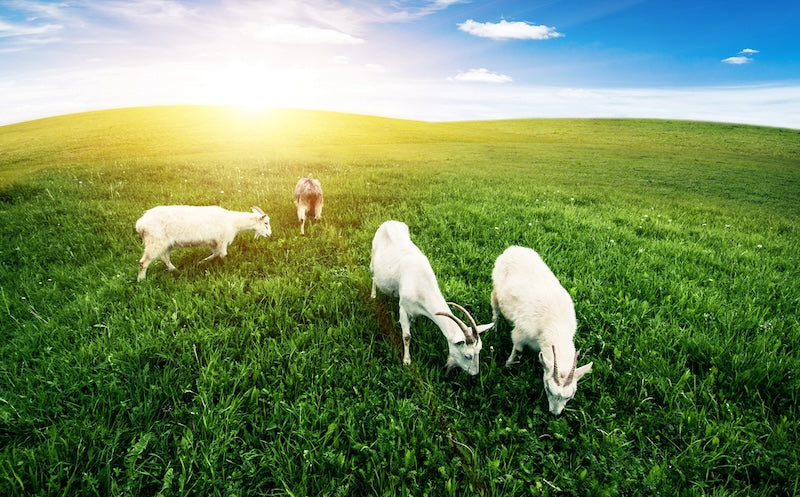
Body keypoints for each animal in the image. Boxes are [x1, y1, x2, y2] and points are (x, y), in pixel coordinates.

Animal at [135, 205, 271, 281]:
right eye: (266, 223)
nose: (269, 235)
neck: (233, 222)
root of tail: (140, 224)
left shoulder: (214, 242)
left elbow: (216, 254)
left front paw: (201, 262)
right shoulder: (222, 239)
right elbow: (223, 255)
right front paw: (226, 267)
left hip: (166, 243)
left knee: (164, 257)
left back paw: (175, 270)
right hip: (155, 241)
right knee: (143, 262)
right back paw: (141, 280)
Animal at [370, 220, 493, 375]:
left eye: (479, 351)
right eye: (467, 355)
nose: (475, 373)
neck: (420, 283)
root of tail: (389, 222)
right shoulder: (403, 307)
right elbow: (406, 336)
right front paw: (406, 361)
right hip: (373, 256)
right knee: (373, 275)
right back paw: (373, 295)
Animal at [490, 245, 593, 415]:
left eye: (571, 395)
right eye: (548, 388)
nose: (554, 414)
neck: (555, 324)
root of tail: (513, 249)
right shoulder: (520, 333)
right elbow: (517, 350)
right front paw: (508, 365)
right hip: (496, 290)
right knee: (496, 310)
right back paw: (494, 329)